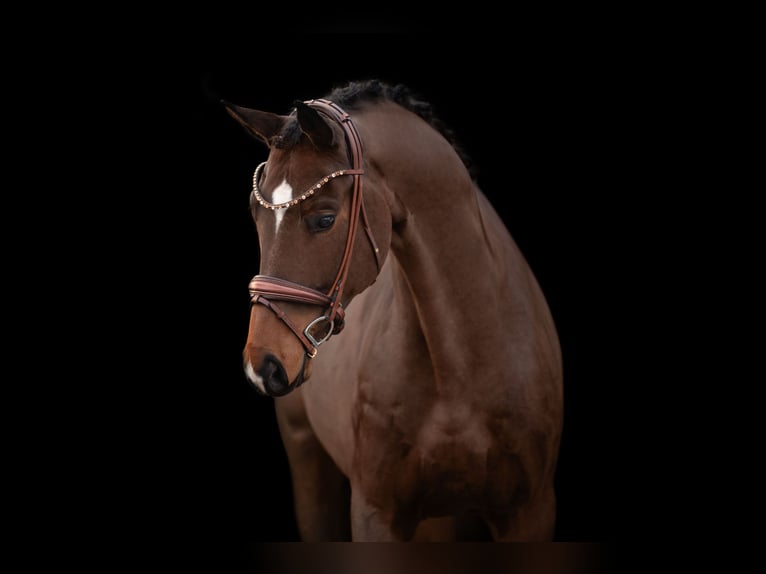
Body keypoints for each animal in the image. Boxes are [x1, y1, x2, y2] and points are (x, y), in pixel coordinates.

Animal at [223, 80, 563, 541]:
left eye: (324, 219)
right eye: (255, 214)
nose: (263, 365)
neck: (463, 361)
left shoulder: (529, 510)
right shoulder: (377, 512)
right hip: (308, 460)